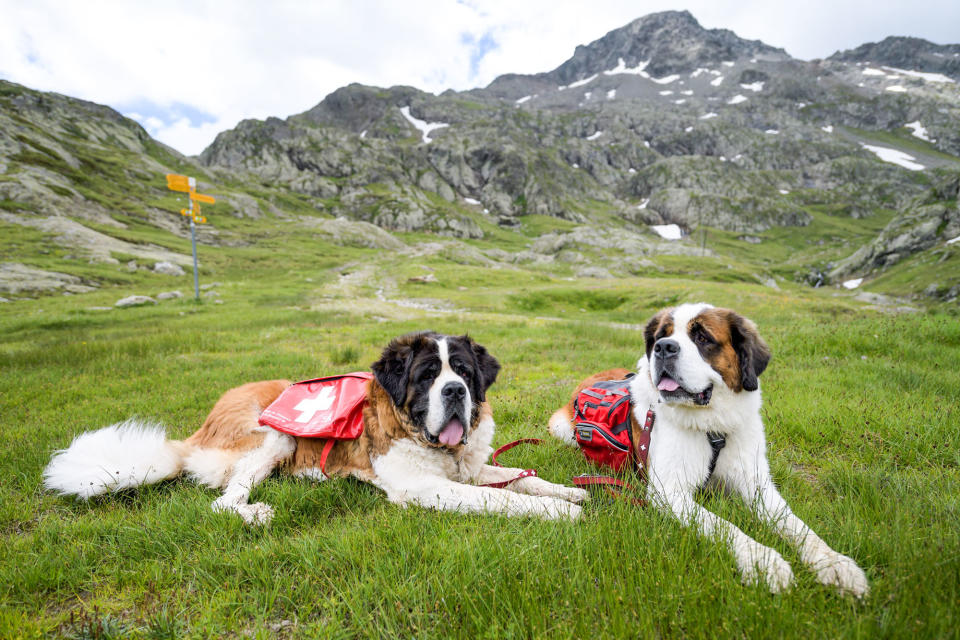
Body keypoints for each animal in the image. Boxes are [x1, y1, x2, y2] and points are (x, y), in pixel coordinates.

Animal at [45, 332, 588, 524]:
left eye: (463, 372)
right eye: (427, 376)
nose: (454, 392)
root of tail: (200, 429)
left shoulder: (469, 468)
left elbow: (518, 476)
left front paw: (570, 492)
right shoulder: (422, 486)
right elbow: (498, 498)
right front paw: (558, 513)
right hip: (273, 431)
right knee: (225, 499)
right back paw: (255, 513)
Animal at [548, 302, 872, 596]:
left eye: (702, 337)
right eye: (661, 335)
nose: (663, 348)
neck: (713, 426)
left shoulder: (758, 484)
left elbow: (797, 525)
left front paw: (835, 564)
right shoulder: (670, 493)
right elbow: (724, 526)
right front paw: (763, 561)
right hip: (560, 427)